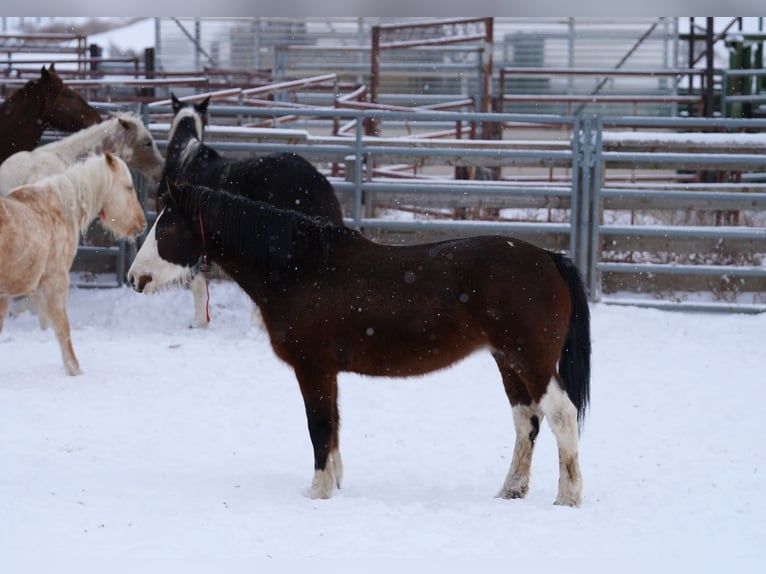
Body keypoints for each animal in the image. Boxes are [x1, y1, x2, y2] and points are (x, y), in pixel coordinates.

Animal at [0, 153, 146, 378]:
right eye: (129, 187)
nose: (142, 224)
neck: (61, 208)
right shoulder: (56, 281)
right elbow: (62, 327)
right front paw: (74, 369)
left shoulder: (6, 295)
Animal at [127, 184, 592, 508]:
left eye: (167, 225)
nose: (135, 277)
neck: (302, 269)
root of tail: (550, 259)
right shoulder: (327, 372)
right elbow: (333, 427)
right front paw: (333, 484)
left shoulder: (312, 367)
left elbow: (319, 427)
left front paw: (317, 492)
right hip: (507, 361)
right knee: (526, 421)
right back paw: (510, 491)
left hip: (531, 360)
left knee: (561, 415)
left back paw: (567, 497)